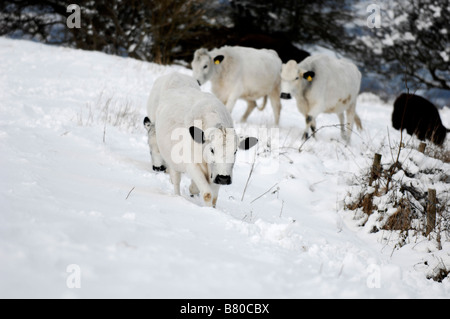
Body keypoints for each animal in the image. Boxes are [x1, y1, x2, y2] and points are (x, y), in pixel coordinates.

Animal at [153, 72, 256, 208]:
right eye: (212, 150)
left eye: (235, 152)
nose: (224, 178)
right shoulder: (192, 166)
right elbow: (207, 194)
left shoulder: (216, 175)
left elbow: (214, 197)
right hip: (172, 160)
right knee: (176, 180)